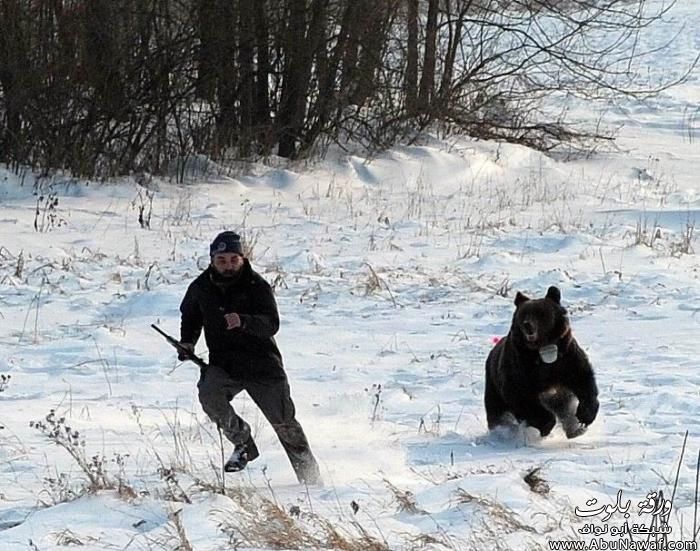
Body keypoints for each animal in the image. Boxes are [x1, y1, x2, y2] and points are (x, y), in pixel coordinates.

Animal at [484, 286, 600, 438]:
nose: (528, 325)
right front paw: (544, 425)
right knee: (497, 413)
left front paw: (585, 416)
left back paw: (574, 428)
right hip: (493, 387)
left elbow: (584, 382)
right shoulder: (521, 370)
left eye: (540, 313)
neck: (544, 349)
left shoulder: (567, 359)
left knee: (565, 410)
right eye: (523, 314)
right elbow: (523, 397)